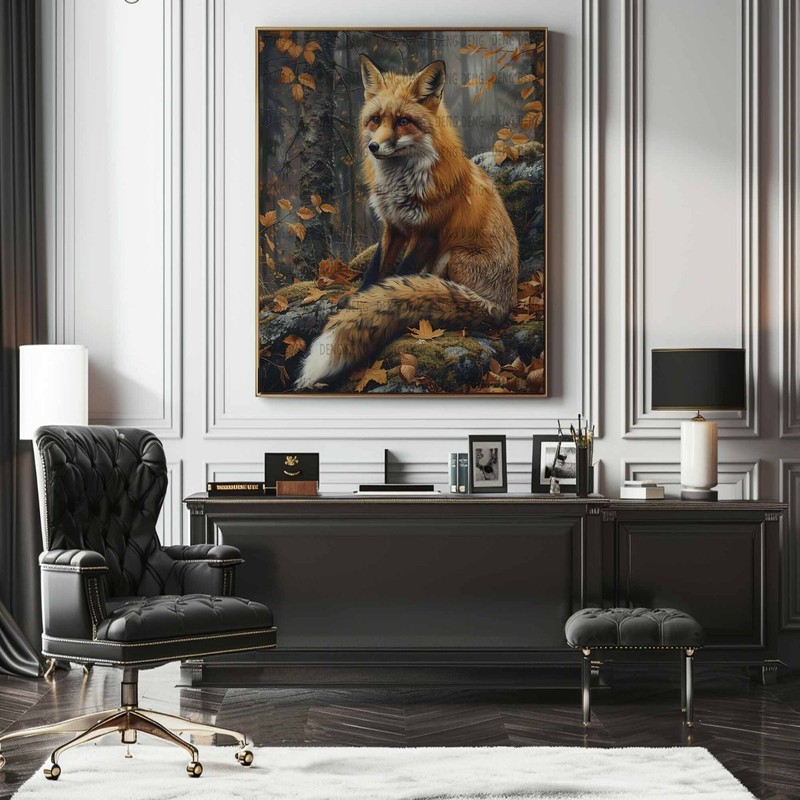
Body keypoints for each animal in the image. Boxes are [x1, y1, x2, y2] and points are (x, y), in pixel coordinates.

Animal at [296, 53, 519, 390]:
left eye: (403, 121)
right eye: (376, 120)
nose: (374, 147)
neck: (400, 184)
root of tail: (501, 305)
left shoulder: (427, 234)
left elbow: (400, 273)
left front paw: (376, 302)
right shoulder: (393, 226)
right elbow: (376, 270)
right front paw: (359, 299)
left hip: (452, 256)